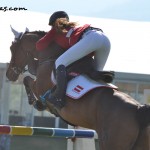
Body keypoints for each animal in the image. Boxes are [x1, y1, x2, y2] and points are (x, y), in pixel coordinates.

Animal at [5, 26, 150, 149]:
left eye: (12, 48)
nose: (9, 74)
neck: (49, 56)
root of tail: (138, 108)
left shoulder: (39, 87)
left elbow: (27, 80)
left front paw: (35, 102)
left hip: (111, 143)